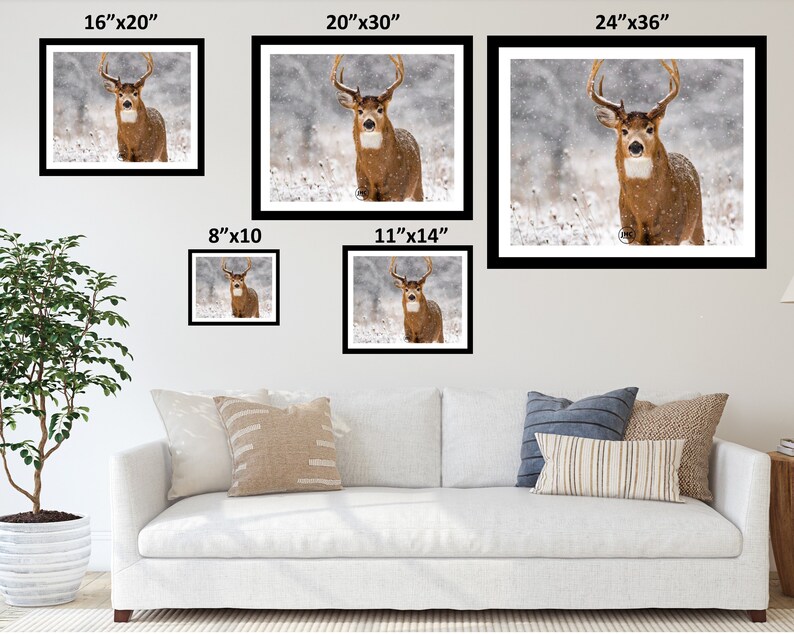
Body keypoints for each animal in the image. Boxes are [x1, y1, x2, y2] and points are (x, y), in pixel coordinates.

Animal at [332, 55, 423, 202]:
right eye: (360, 110)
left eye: (380, 109)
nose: (369, 123)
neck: (376, 174)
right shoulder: (365, 193)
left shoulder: (397, 193)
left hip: (417, 187)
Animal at [588, 59, 704, 245]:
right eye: (624, 130)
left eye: (650, 129)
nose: (635, 146)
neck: (645, 211)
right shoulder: (631, 235)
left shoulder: (671, 235)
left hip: (697, 226)